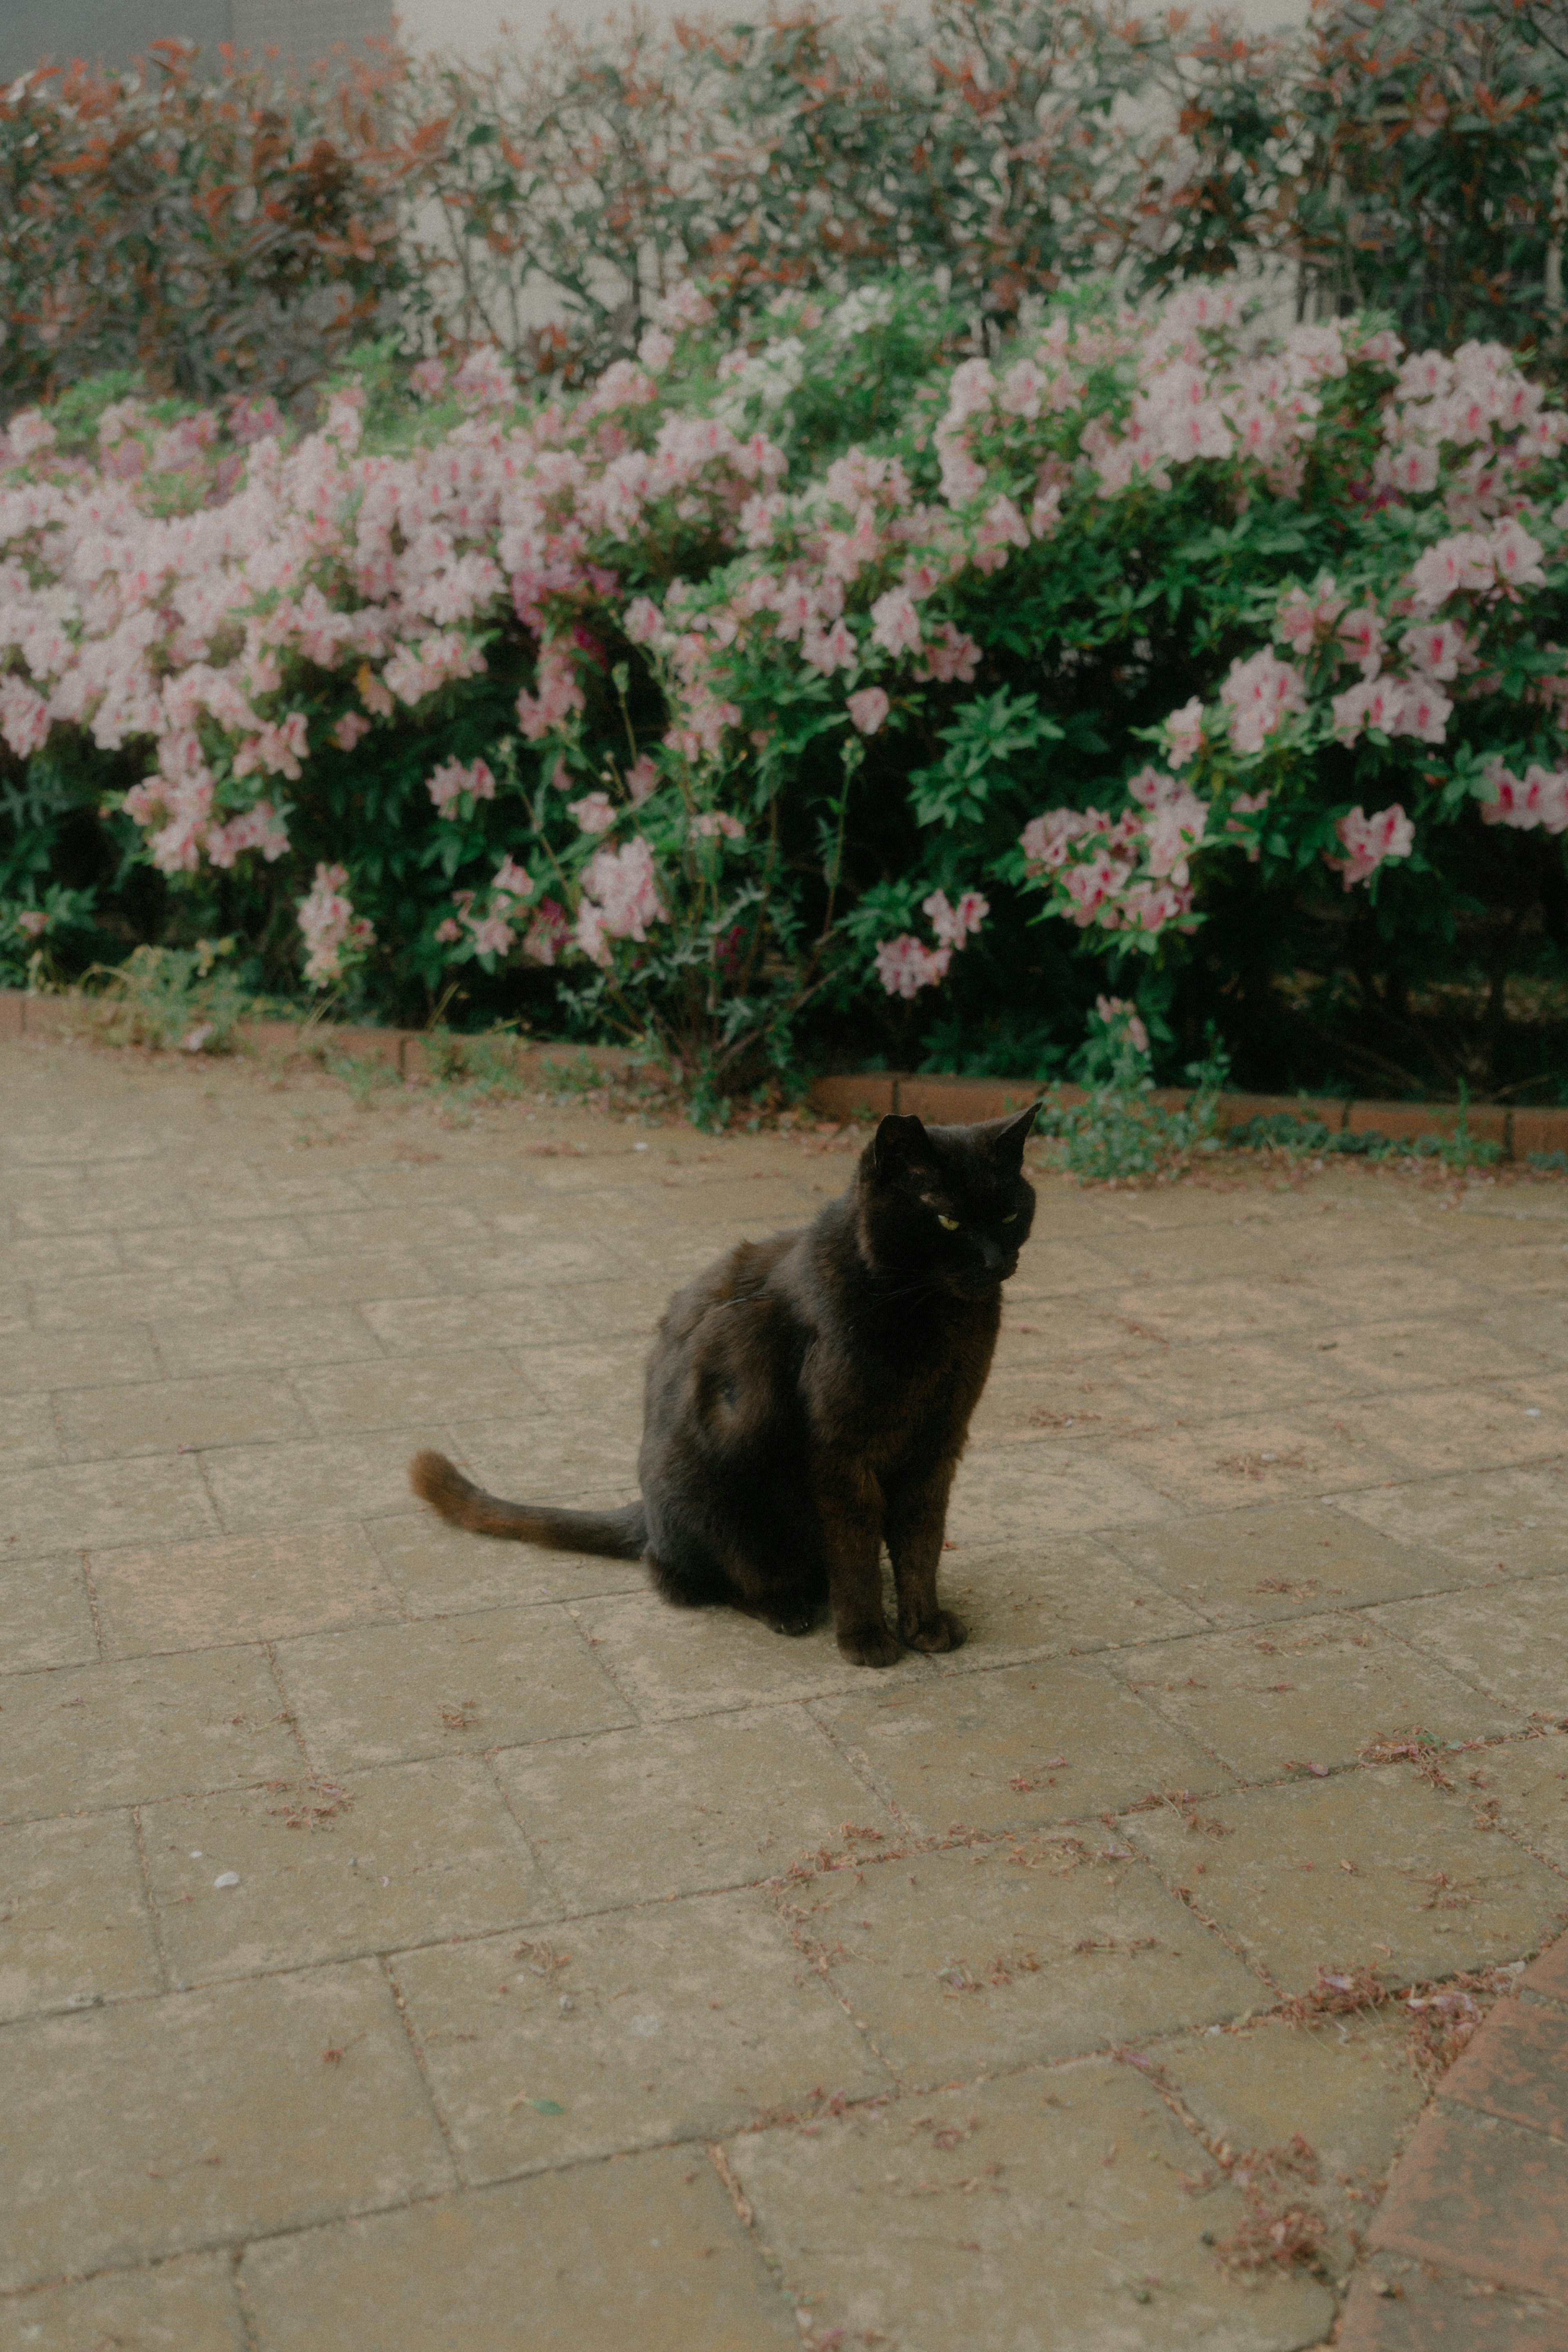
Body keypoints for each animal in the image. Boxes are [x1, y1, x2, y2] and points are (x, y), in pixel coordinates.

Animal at [411, 1105, 1034, 1674]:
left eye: (1009, 1212)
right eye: (947, 1220)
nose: (994, 1260)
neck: (938, 1324)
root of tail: (645, 1510)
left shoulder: (938, 1444)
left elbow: (922, 1545)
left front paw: (924, 1625)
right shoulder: (841, 1452)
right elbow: (855, 1550)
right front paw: (866, 1639)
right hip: (723, 1470)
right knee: (693, 1577)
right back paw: (788, 1605)